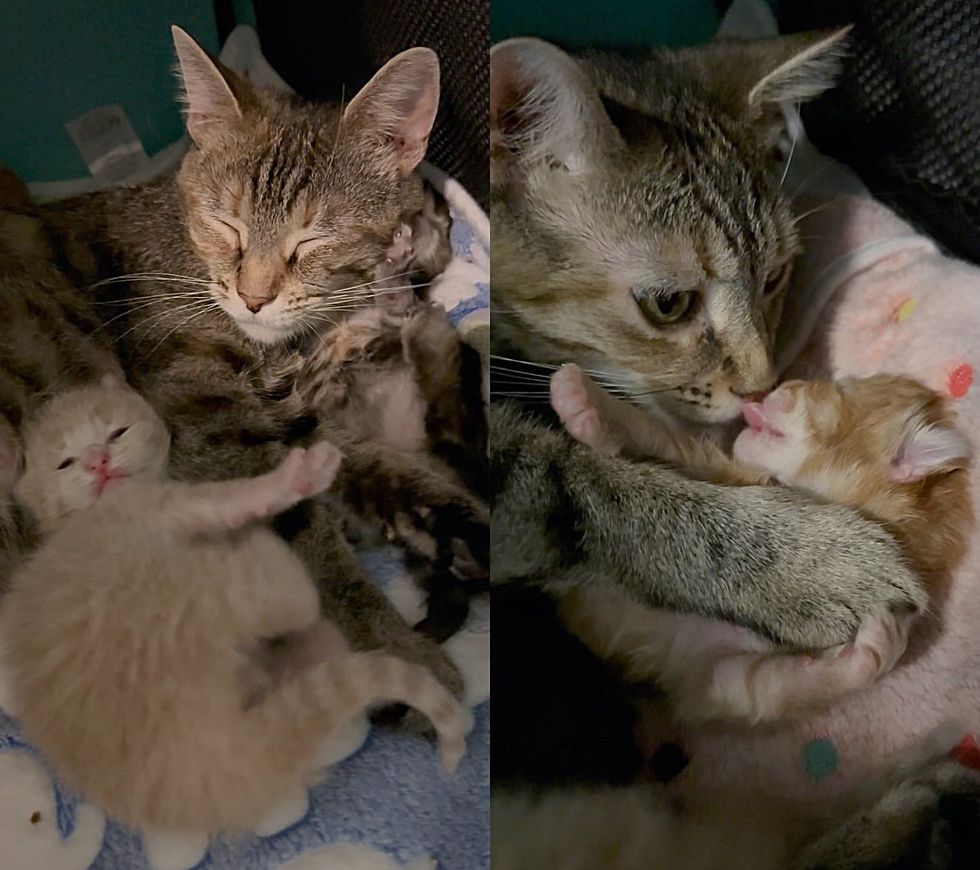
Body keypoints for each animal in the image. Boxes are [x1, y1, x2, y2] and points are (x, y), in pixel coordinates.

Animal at [0, 380, 470, 836]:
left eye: (118, 432)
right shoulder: (162, 507)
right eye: (64, 463)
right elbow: (229, 498)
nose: (97, 462)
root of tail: (209, 769)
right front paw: (296, 479)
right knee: (294, 595)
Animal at [552, 368, 972, 728]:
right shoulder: (722, 474)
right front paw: (583, 396)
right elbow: (668, 439)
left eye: (833, 389)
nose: (774, 388)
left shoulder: (707, 666)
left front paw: (878, 645)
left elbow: (767, 688)